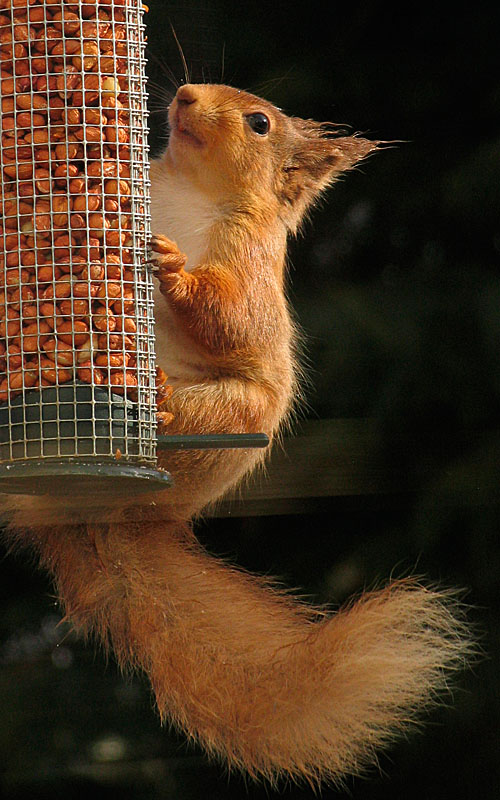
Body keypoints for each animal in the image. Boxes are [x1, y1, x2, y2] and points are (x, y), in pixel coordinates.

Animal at [1, 83, 472, 788]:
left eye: (259, 123)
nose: (185, 94)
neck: (187, 188)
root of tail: (103, 509)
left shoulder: (250, 255)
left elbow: (234, 317)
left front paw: (171, 266)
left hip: (229, 421)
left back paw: (163, 404)